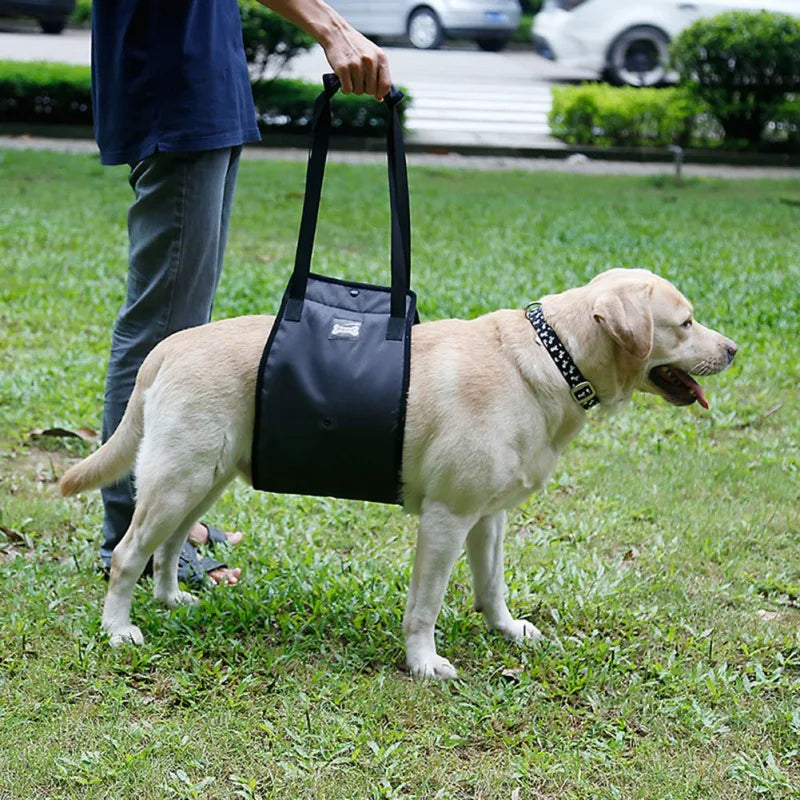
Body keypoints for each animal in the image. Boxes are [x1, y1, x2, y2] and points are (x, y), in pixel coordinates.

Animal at [61, 268, 736, 676]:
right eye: (686, 323)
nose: (732, 350)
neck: (552, 358)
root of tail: (169, 344)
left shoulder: (487, 518)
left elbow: (492, 585)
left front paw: (506, 630)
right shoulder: (446, 519)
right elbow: (425, 606)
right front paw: (423, 662)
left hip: (204, 478)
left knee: (169, 544)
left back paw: (171, 599)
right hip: (178, 479)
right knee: (127, 553)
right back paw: (119, 628)